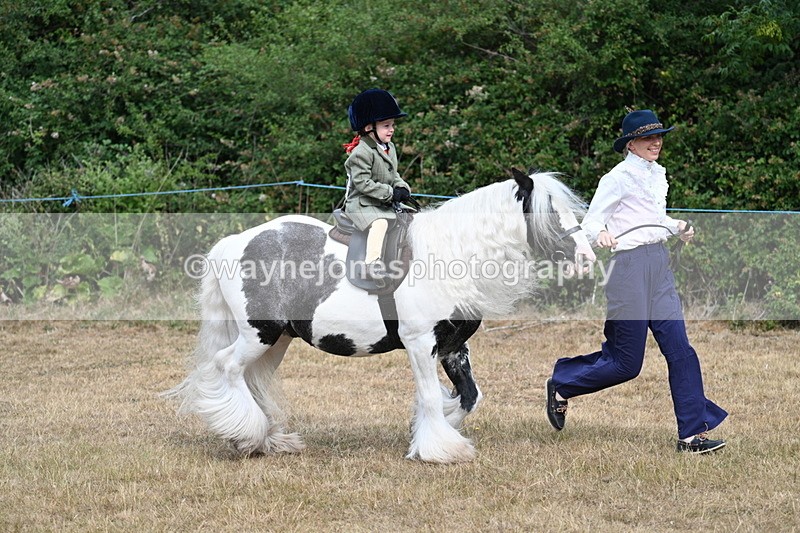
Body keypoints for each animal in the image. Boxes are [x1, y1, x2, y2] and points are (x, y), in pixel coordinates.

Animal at [165, 169, 596, 463]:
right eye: (550, 213)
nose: (588, 257)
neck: (450, 255)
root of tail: (233, 243)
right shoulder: (420, 343)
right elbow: (430, 395)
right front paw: (439, 449)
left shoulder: (453, 346)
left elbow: (469, 397)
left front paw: (432, 432)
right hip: (259, 334)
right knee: (227, 367)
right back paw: (247, 436)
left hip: (278, 340)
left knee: (251, 379)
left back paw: (267, 439)